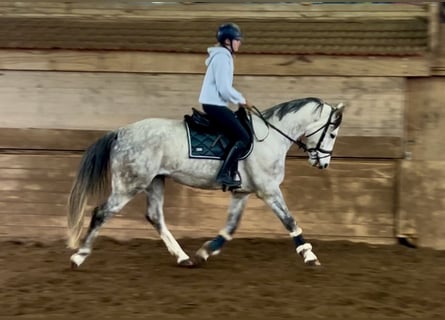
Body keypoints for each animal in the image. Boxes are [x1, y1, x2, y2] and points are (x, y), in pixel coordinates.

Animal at [67, 97, 344, 268]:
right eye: (331, 133)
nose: (323, 163)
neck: (271, 137)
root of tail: (121, 132)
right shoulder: (269, 190)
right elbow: (289, 221)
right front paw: (310, 255)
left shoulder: (241, 193)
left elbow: (230, 227)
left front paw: (206, 251)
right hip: (130, 184)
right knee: (101, 213)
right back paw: (79, 256)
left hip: (155, 181)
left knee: (155, 217)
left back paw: (183, 258)